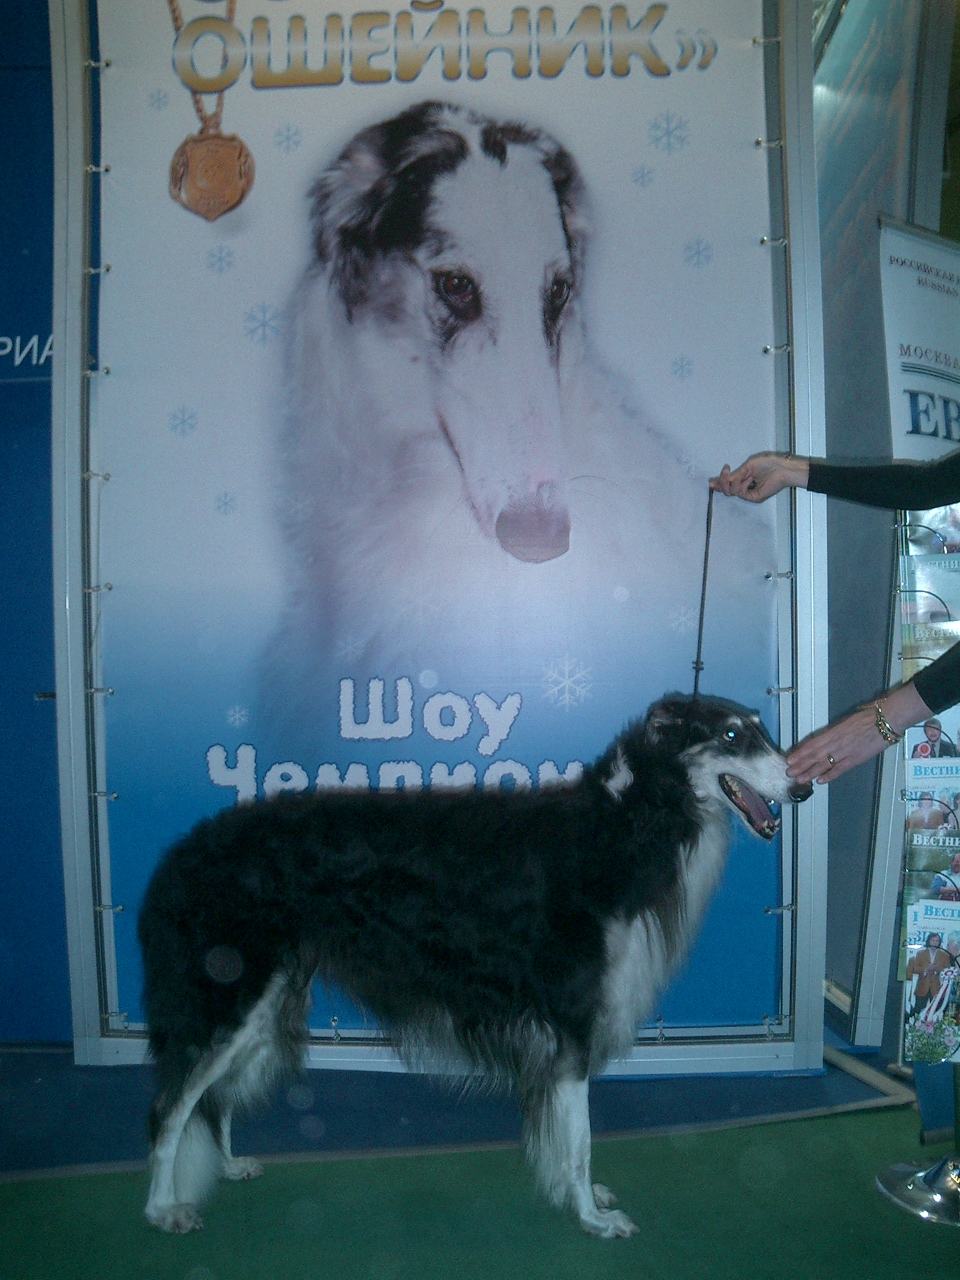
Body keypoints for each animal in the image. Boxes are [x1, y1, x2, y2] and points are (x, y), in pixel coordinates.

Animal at [139, 693, 811, 1236]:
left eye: (762, 728)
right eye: (732, 734)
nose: (803, 786)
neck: (621, 826)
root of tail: (182, 855)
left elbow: (568, 1142)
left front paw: (582, 1199)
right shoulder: (571, 1023)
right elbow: (580, 1140)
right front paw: (593, 1219)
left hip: (263, 1000)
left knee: (214, 1100)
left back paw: (228, 1164)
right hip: (228, 994)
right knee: (170, 1108)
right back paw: (162, 1208)